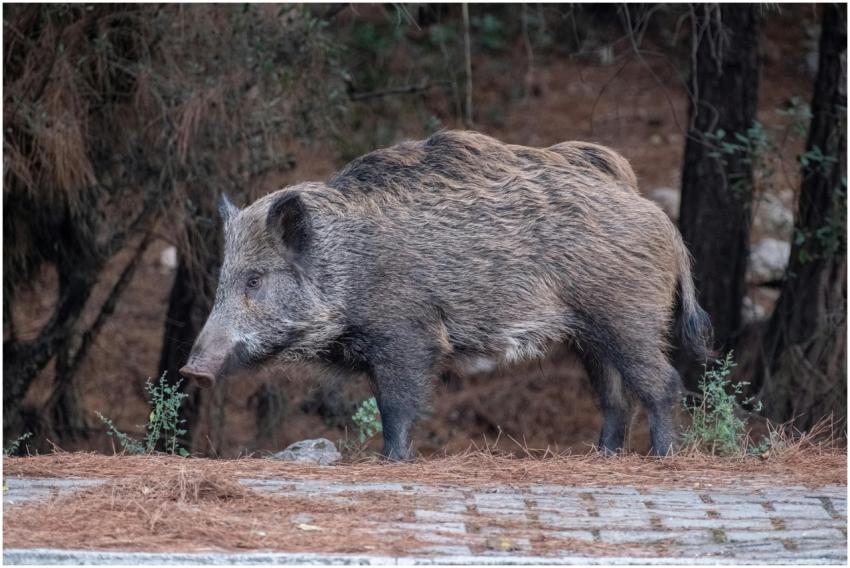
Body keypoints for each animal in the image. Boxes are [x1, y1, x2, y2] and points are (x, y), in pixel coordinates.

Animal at [180, 130, 713, 458]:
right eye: (223, 278)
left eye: (255, 279)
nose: (192, 370)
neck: (347, 264)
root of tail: (661, 220)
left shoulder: (407, 335)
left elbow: (398, 407)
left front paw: (392, 462)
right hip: (591, 333)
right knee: (615, 398)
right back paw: (602, 456)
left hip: (627, 316)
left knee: (663, 383)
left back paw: (662, 456)